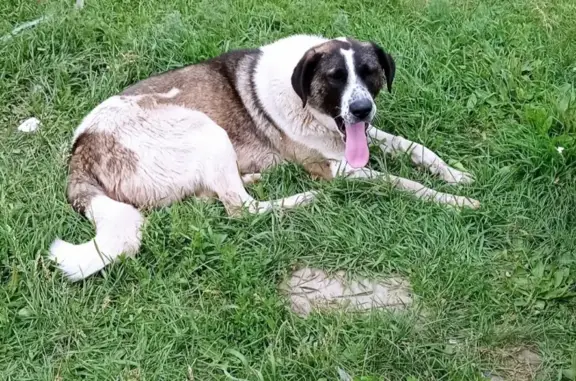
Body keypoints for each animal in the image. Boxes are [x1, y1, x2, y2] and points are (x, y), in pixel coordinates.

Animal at [49, 34, 476, 280]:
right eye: (335, 77)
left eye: (370, 72)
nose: (361, 109)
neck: (308, 104)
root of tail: (80, 150)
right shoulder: (339, 169)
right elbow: (404, 183)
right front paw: (456, 201)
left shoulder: (363, 138)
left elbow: (416, 149)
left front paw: (455, 176)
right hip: (208, 131)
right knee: (241, 209)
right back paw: (307, 199)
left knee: (219, 198)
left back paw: (253, 178)